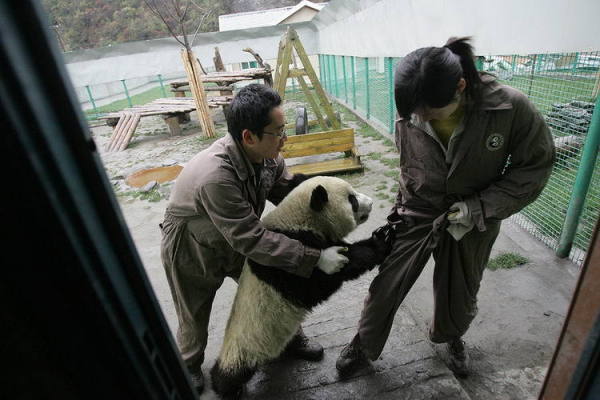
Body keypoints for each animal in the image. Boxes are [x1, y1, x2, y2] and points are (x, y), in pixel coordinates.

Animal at [209, 177, 392, 398]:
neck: (299, 219)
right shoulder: (288, 263)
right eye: (352, 200)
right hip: (244, 344)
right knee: (232, 372)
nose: (371, 202)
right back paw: (227, 388)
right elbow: (327, 276)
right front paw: (381, 241)